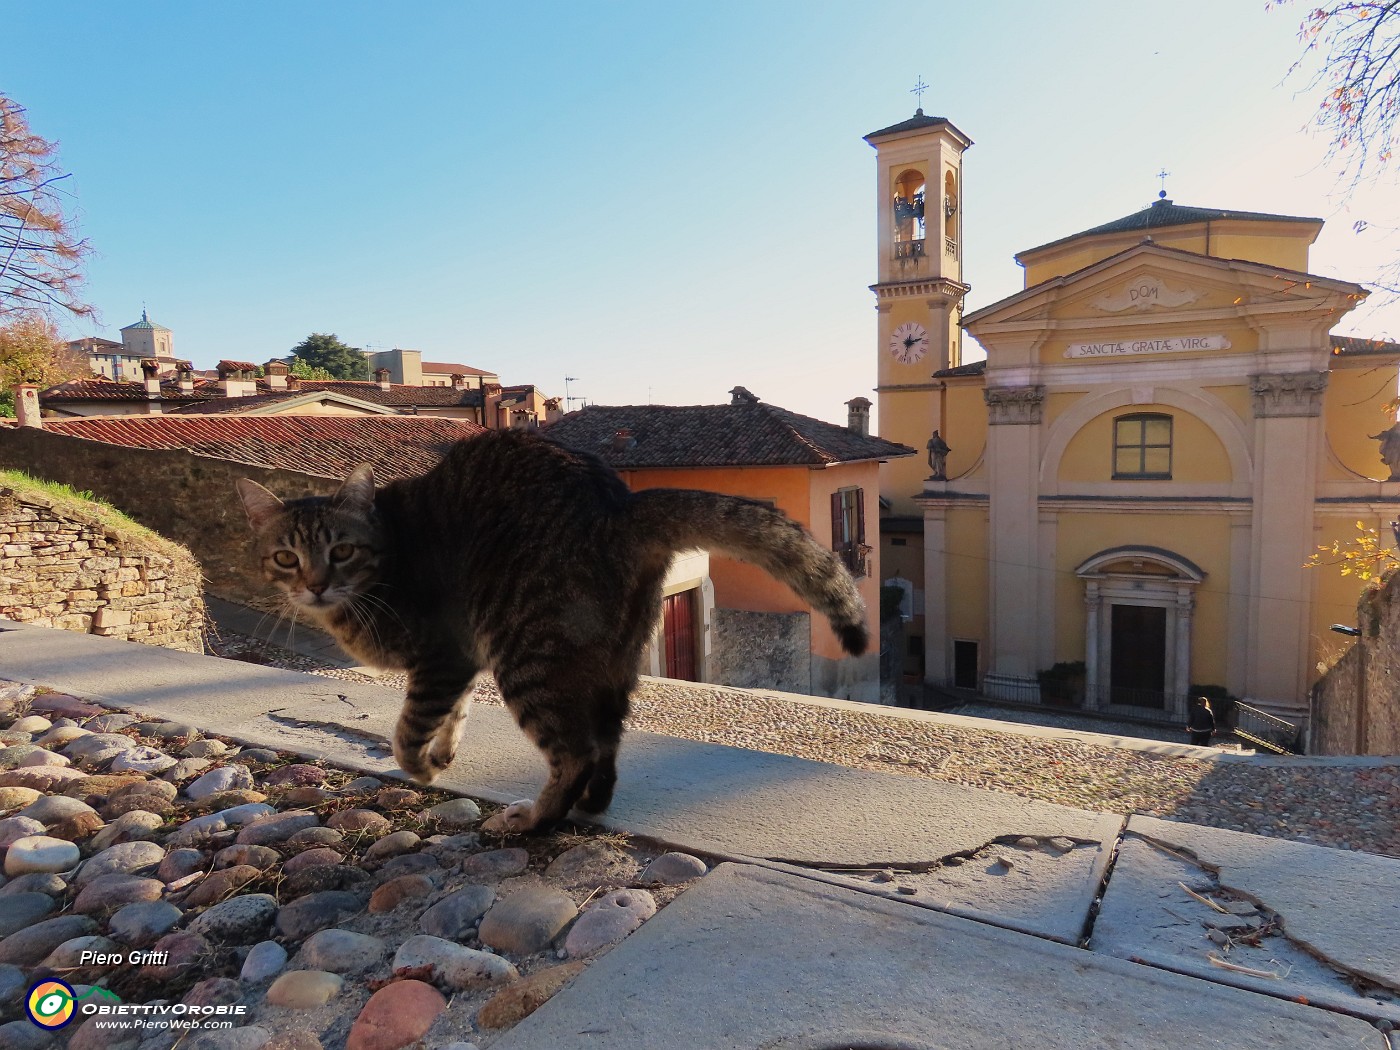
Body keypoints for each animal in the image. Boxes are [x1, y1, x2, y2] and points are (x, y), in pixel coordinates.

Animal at [236, 431, 868, 834]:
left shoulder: (444, 656)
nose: (315, 585)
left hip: (526, 656)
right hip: (611, 661)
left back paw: (538, 819)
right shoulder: (462, 663)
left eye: (340, 551)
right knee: (607, 745)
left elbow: (408, 729)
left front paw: (421, 766)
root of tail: (618, 503)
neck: (384, 559)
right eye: (286, 558)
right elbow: (454, 713)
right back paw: (590, 805)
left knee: (576, 751)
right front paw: (444, 753)